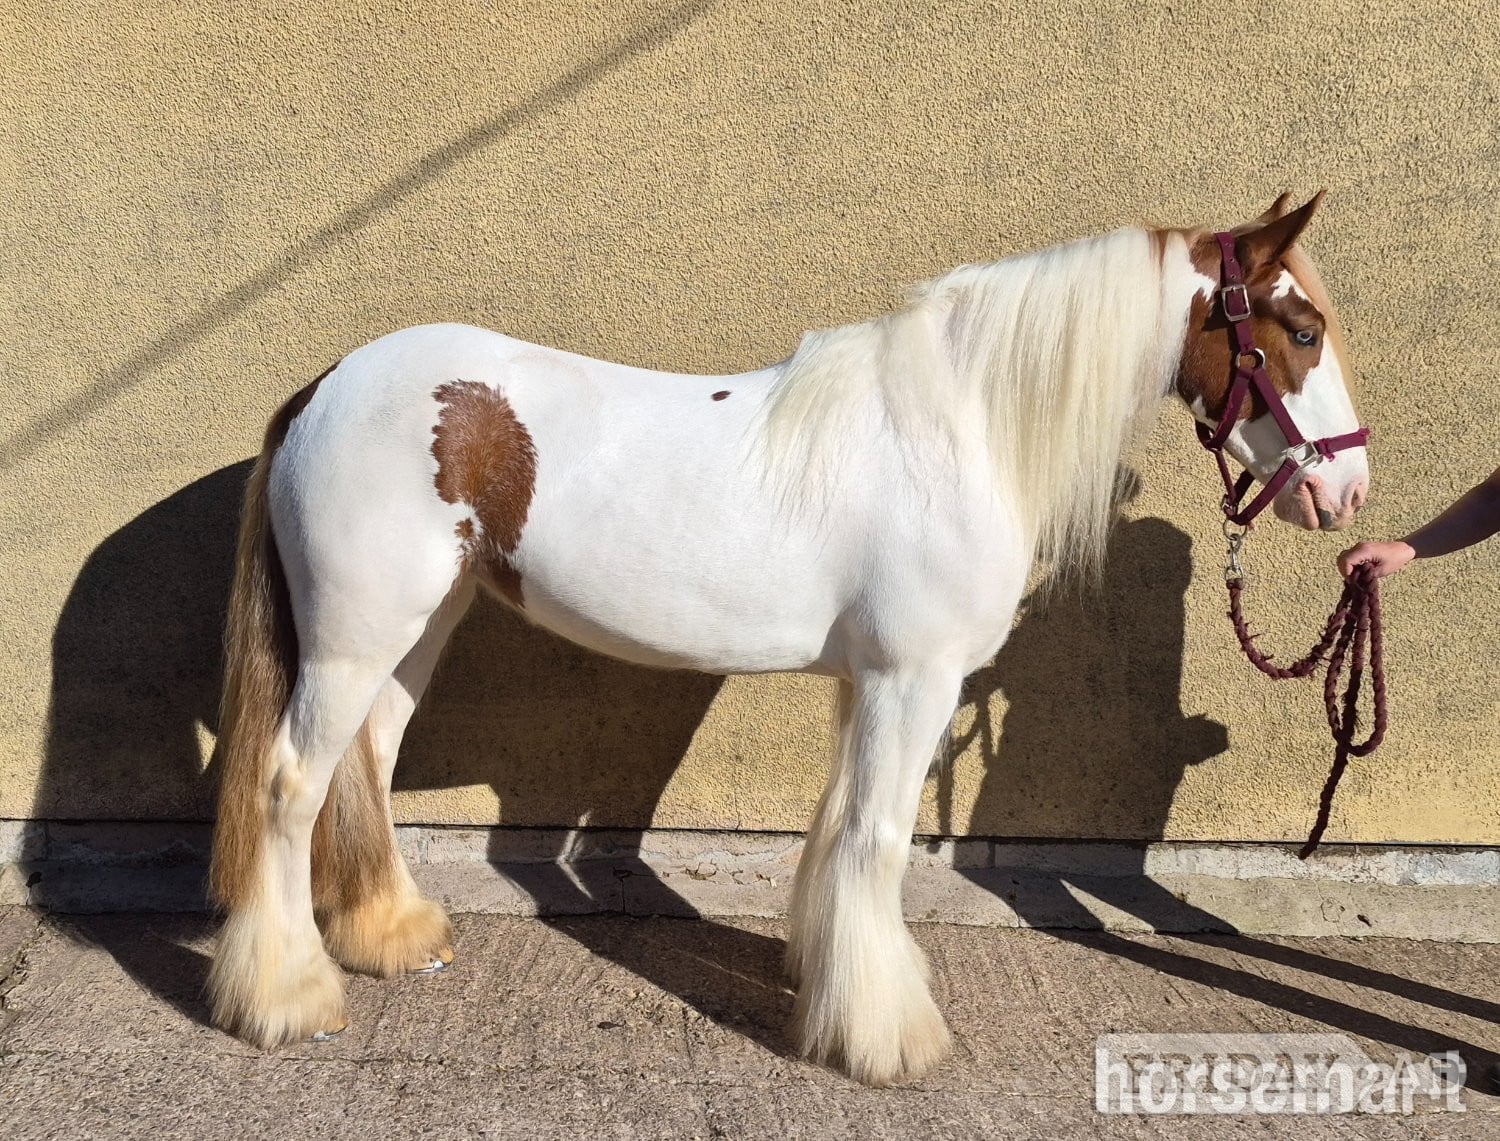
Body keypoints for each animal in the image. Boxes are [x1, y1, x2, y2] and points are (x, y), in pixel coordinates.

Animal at [206, 192, 1368, 1087]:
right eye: (1303, 328)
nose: (1347, 490)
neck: (958, 429)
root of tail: (323, 388)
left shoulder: (870, 680)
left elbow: (837, 827)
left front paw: (828, 984)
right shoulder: (913, 678)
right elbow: (877, 837)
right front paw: (887, 1036)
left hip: (416, 629)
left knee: (365, 766)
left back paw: (391, 938)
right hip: (357, 637)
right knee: (289, 784)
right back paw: (288, 998)